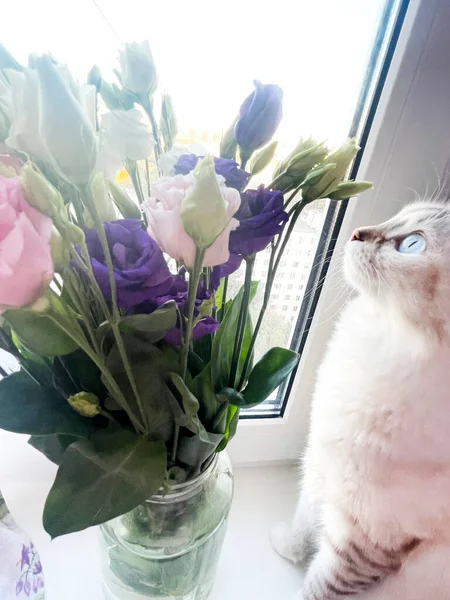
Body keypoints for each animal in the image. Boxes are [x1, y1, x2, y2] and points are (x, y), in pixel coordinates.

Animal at [272, 203, 450, 600]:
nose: (357, 233)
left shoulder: (365, 542)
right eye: (397, 216)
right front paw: (286, 549)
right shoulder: (321, 466)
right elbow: (303, 523)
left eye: (412, 245)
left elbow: (319, 588)